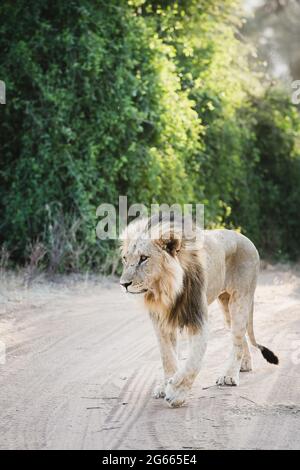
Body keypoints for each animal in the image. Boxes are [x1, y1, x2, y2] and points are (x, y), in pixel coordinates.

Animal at [118, 214, 278, 408]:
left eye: (143, 258)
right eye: (125, 259)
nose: (123, 284)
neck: (166, 290)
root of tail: (246, 239)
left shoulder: (198, 319)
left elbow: (193, 362)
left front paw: (176, 393)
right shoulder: (161, 322)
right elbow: (168, 357)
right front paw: (165, 385)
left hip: (240, 299)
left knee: (238, 338)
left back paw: (229, 375)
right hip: (226, 306)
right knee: (240, 338)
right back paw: (244, 364)